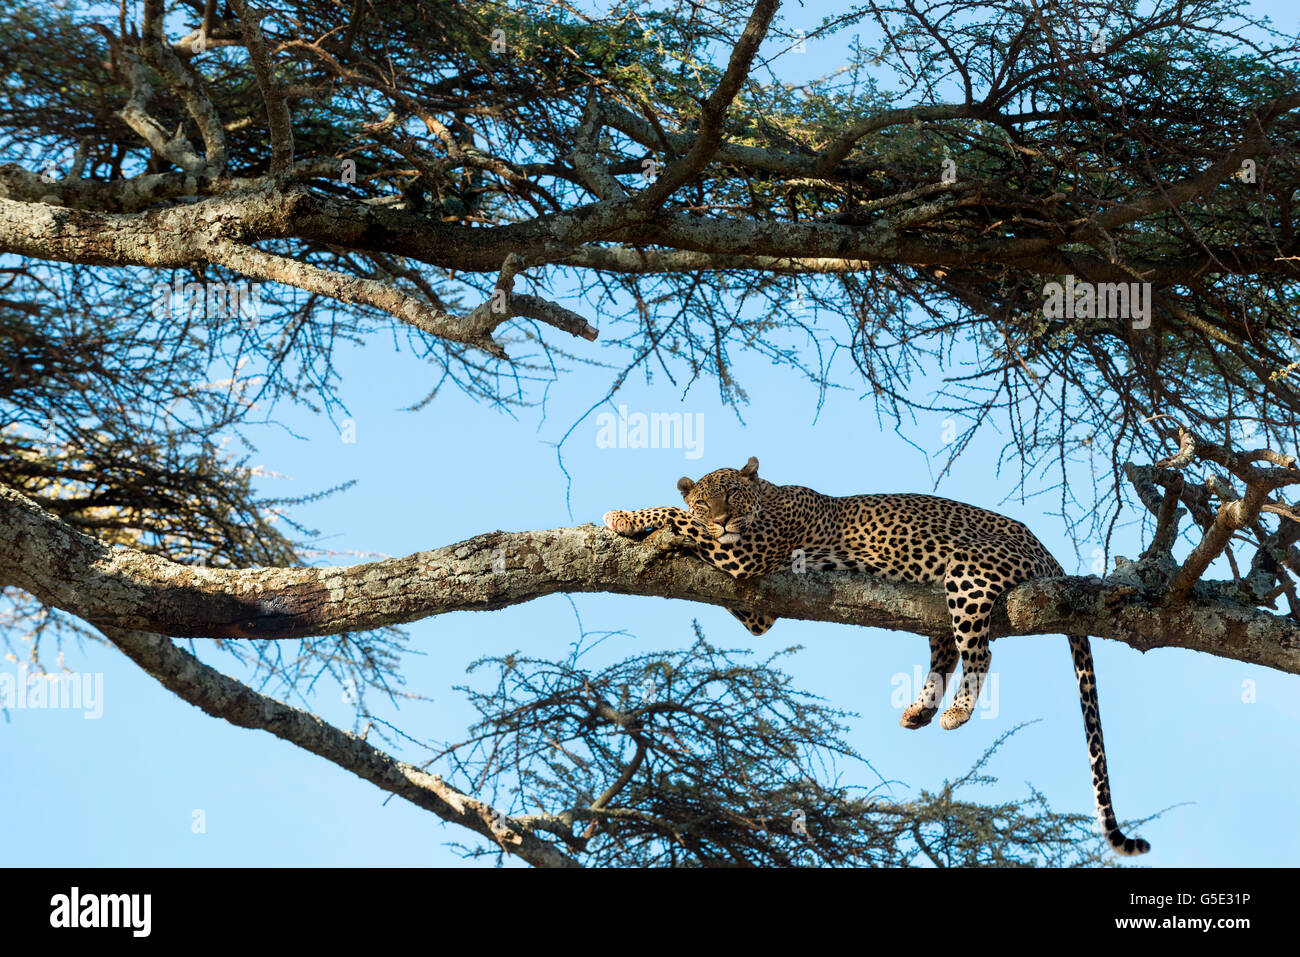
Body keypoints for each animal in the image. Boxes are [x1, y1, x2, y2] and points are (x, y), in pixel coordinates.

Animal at [603, 455, 1150, 856]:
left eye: (732, 494)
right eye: (704, 499)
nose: (720, 518)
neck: (770, 496)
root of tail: (1049, 553)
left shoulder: (747, 552)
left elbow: (673, 517)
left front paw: (627, 519)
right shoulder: (758, 609)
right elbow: (693, 535)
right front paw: (658, 529)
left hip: (969, 574)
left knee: (980, 654)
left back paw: (955, 712)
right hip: (938, 606)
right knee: (946, 651)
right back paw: (920, 709)